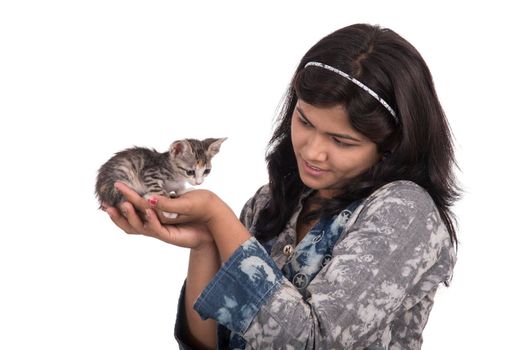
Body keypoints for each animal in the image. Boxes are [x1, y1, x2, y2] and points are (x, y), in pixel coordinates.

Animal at [95, 137, 225, 219]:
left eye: (207, 171)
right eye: (190, 172)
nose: (199, 183)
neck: (177, 174)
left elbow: (179, 188)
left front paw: (184, 190)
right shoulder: (150, 173)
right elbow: (158, 190)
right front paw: (168, 209)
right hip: (120, 177)